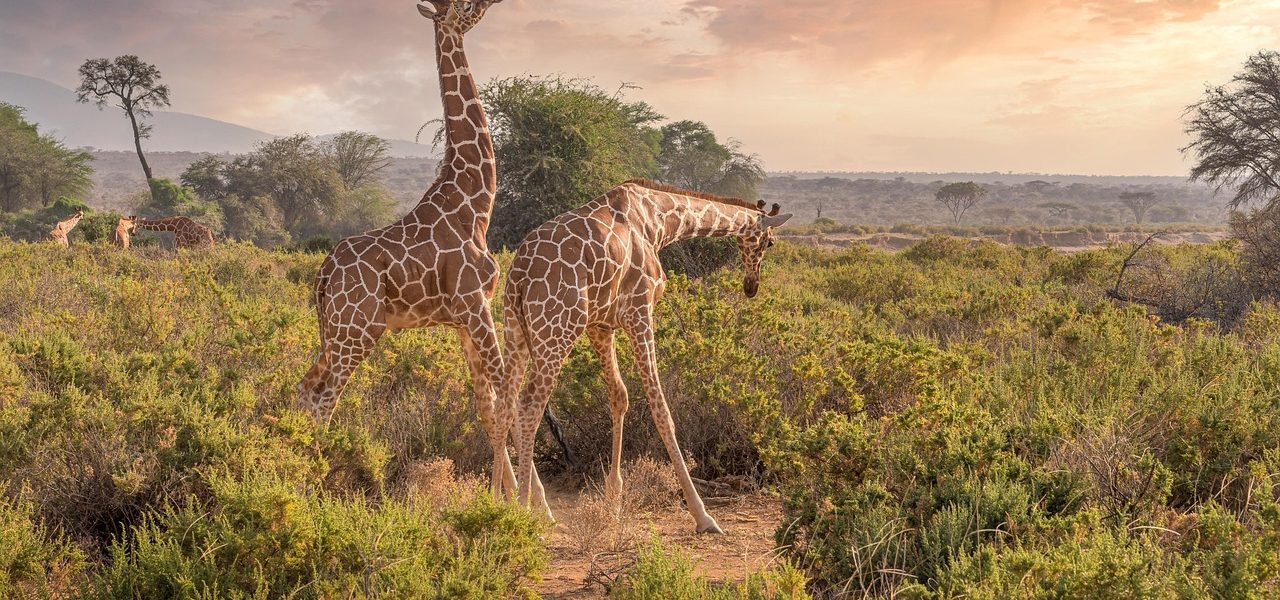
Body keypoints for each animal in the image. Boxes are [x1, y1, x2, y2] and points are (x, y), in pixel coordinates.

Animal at [294, 0, 522, 496]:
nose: (493, 2)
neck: (475, 203)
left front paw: (505, 496)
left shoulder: (462, 319)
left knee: (304, 388)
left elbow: (486, 405)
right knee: (324, 398)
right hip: (357, 332)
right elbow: (507, 393)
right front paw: (529, 500)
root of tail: (323, 275)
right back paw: (313, 486)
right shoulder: (475, 305)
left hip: (334, 332)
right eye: (465, 5)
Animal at [501, 179, 792, 533]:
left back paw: (508, 501)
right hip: (556, 330)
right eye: (770, 243)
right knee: (529, 405)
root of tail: (518, 274)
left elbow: (619, 396)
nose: (752, 286)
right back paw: (524, 510)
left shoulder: (601, 325)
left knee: (505, 403)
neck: (659, 221)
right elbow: (661, 409)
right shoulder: (640, 310)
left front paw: (613, 500)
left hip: (516, 330)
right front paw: (702, 515)